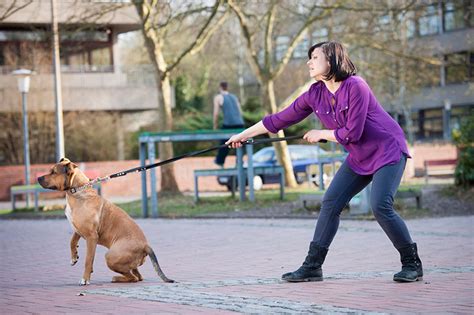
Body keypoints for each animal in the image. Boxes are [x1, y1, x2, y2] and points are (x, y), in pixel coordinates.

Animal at [37, 159, 174, 286]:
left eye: (54, 172)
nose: (38, 178)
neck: (77, 191)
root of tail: (146, 246)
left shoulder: (91, 237)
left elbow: (88, 260)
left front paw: (85, 279)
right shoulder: (78, 228)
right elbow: (72, 241)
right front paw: (74, 257)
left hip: (110, 257)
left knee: (133, 277)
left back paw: (116, 278)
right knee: (138, 276)